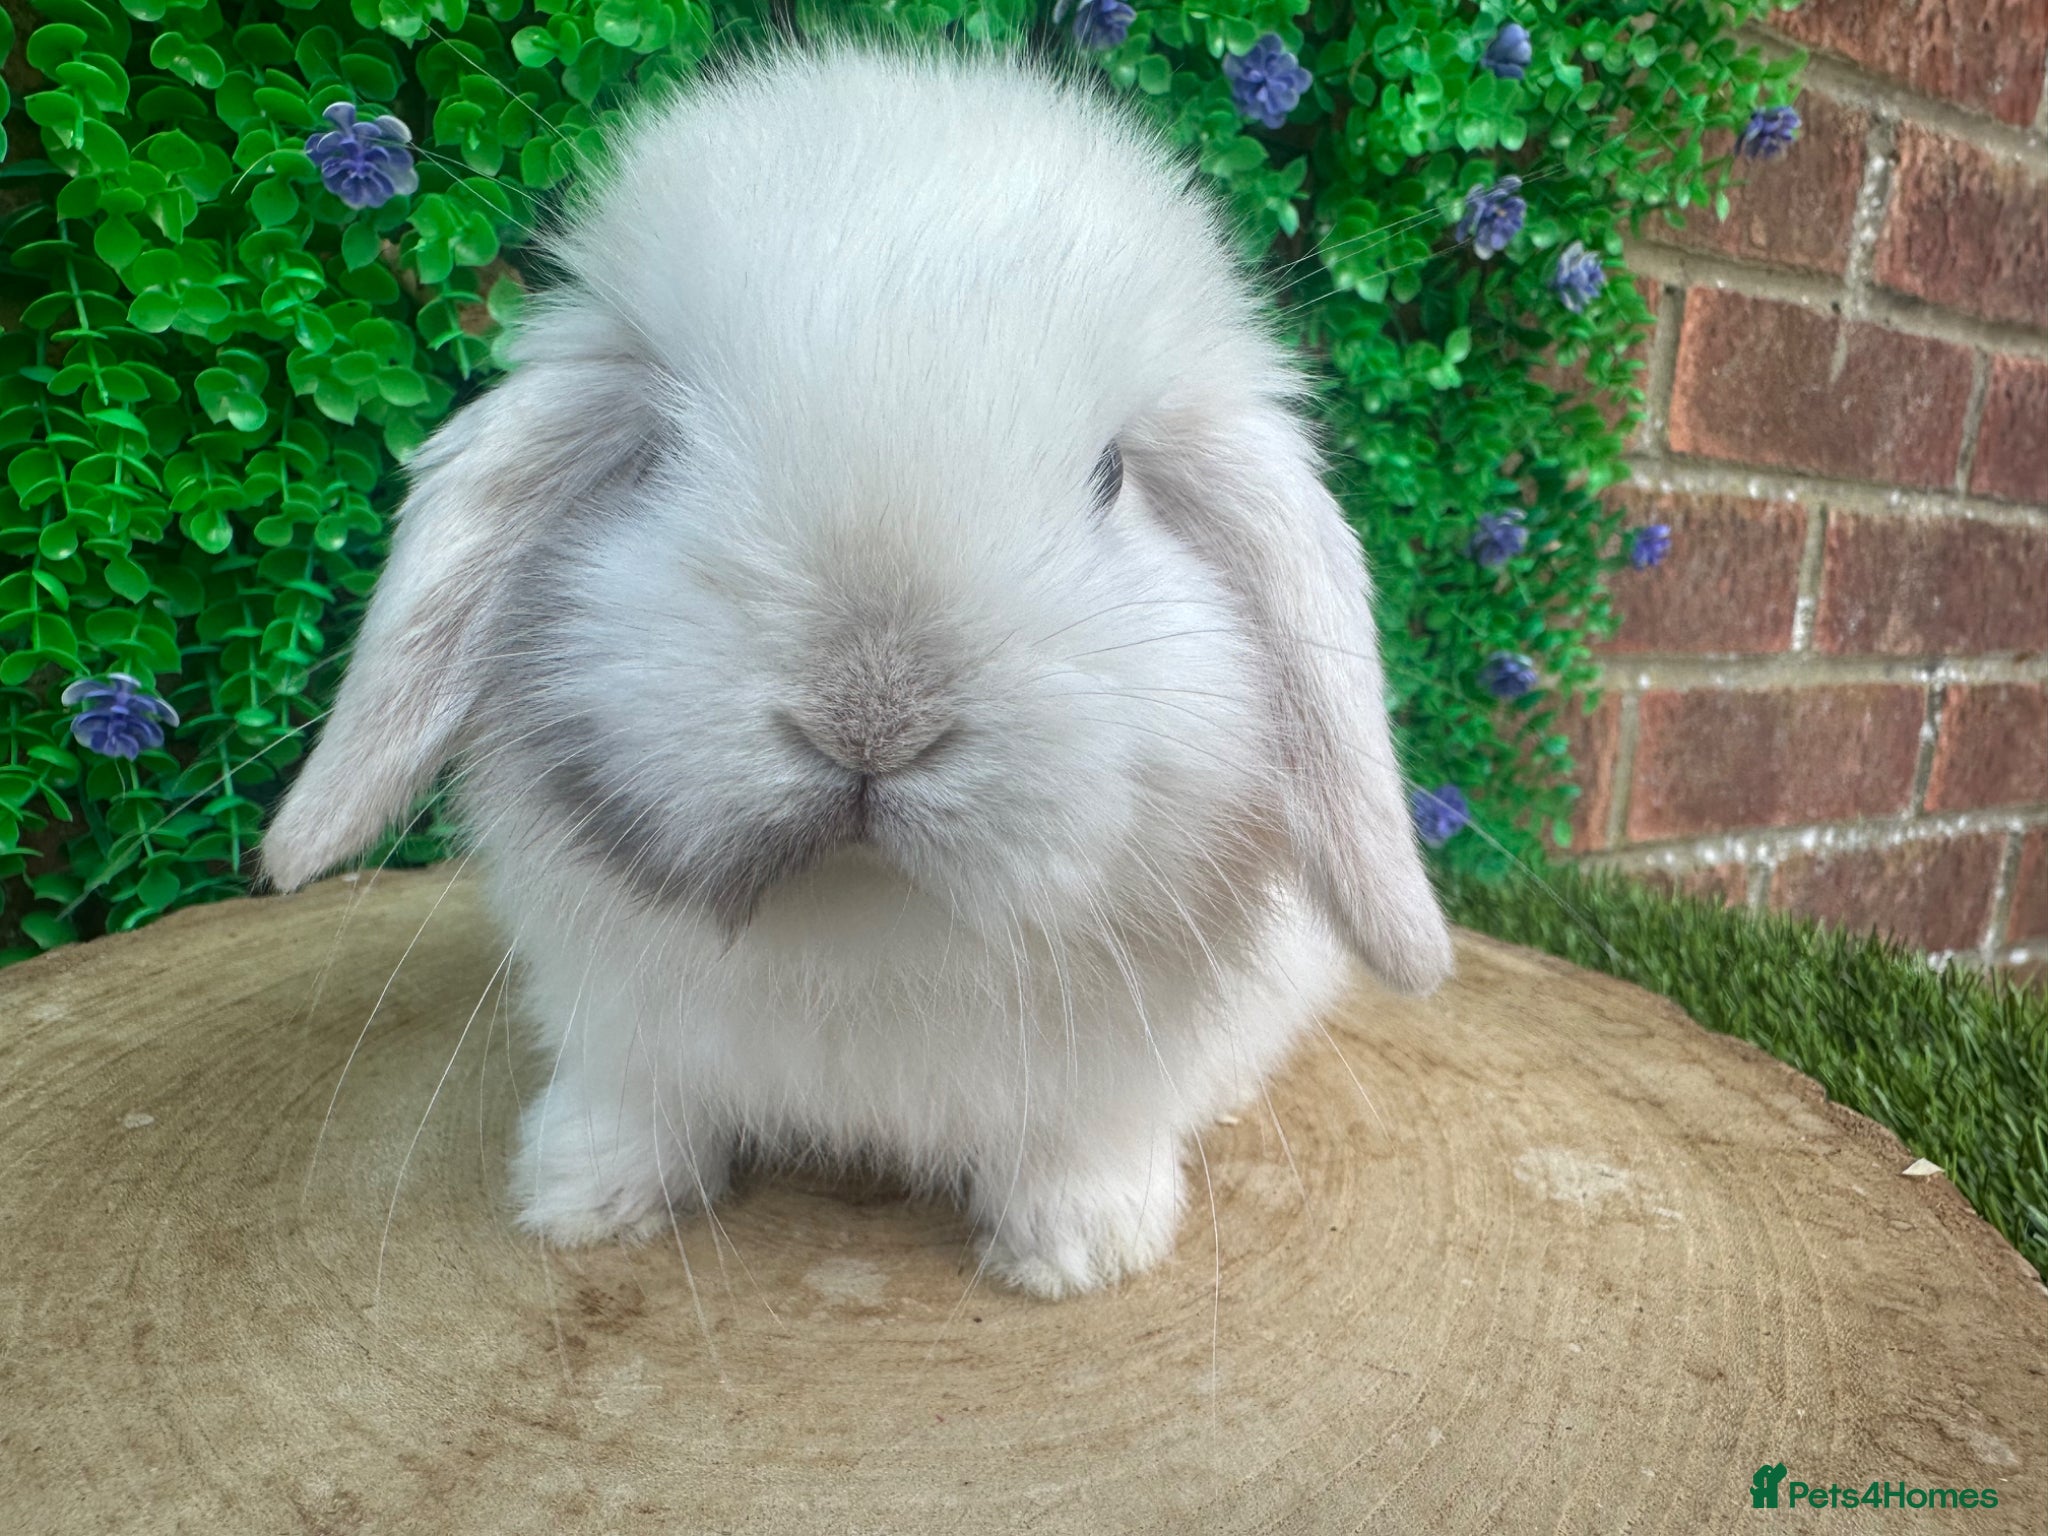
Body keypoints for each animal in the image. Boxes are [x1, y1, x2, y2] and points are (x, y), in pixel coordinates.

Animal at [259, 35, 1454, 1299]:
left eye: (1111, 476)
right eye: (659, 453)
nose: (872, 721)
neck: (864, 917)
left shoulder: (1107, 1077)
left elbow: (1082, 1141)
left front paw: (1078, 1255)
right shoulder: (616, 1028)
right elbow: (635, 1101)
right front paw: (580, 1199)